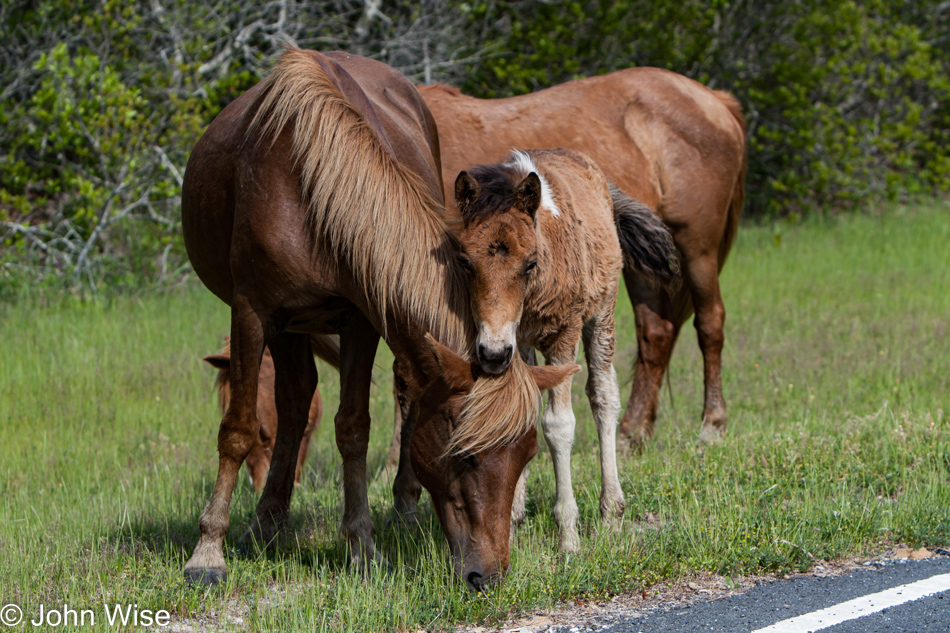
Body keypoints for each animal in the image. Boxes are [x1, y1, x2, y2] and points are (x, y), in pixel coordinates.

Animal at [182, 49, 576, 592]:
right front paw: (208, 550)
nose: (489, 576)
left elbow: (353, 429)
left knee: (351, 394)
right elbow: (239, 428)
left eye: (527, 455)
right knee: (293, 400)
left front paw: (362, 547)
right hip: (285, 325)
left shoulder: (360, 316)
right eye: (467, 456)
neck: (310, 188)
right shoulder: (252, 311)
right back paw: (266, 523)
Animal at [420, 69, 748, 444]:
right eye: (464, 262)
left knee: (709, 323)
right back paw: (632, 432)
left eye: (531, 264)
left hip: (697, 249)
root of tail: (717, 100)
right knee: (656, 332)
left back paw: (712, 424)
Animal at [458, 148, 680, 548]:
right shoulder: (517, 342)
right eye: (466, 262)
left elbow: (559, 424)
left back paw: (611, 514)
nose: (492, 354)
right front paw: (510, 523)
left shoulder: (564, 334)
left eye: (530, 262)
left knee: (604, 396)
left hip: (602, 315)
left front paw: (568, 536)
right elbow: (519, 412)